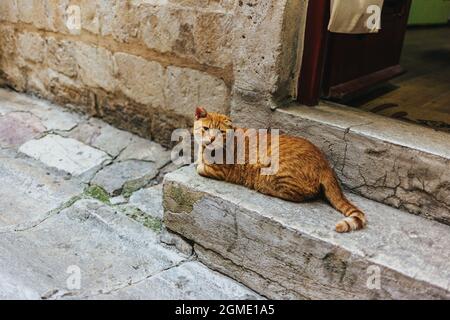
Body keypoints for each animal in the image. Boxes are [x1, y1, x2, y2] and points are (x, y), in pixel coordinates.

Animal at [193, 107, 366, 232]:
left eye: (220, 132)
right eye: (206, 129)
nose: (212, 139)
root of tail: (325, 163)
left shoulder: (218, 170)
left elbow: (199, 168)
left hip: (276, 173)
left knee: (301, 194)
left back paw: (264, 188)